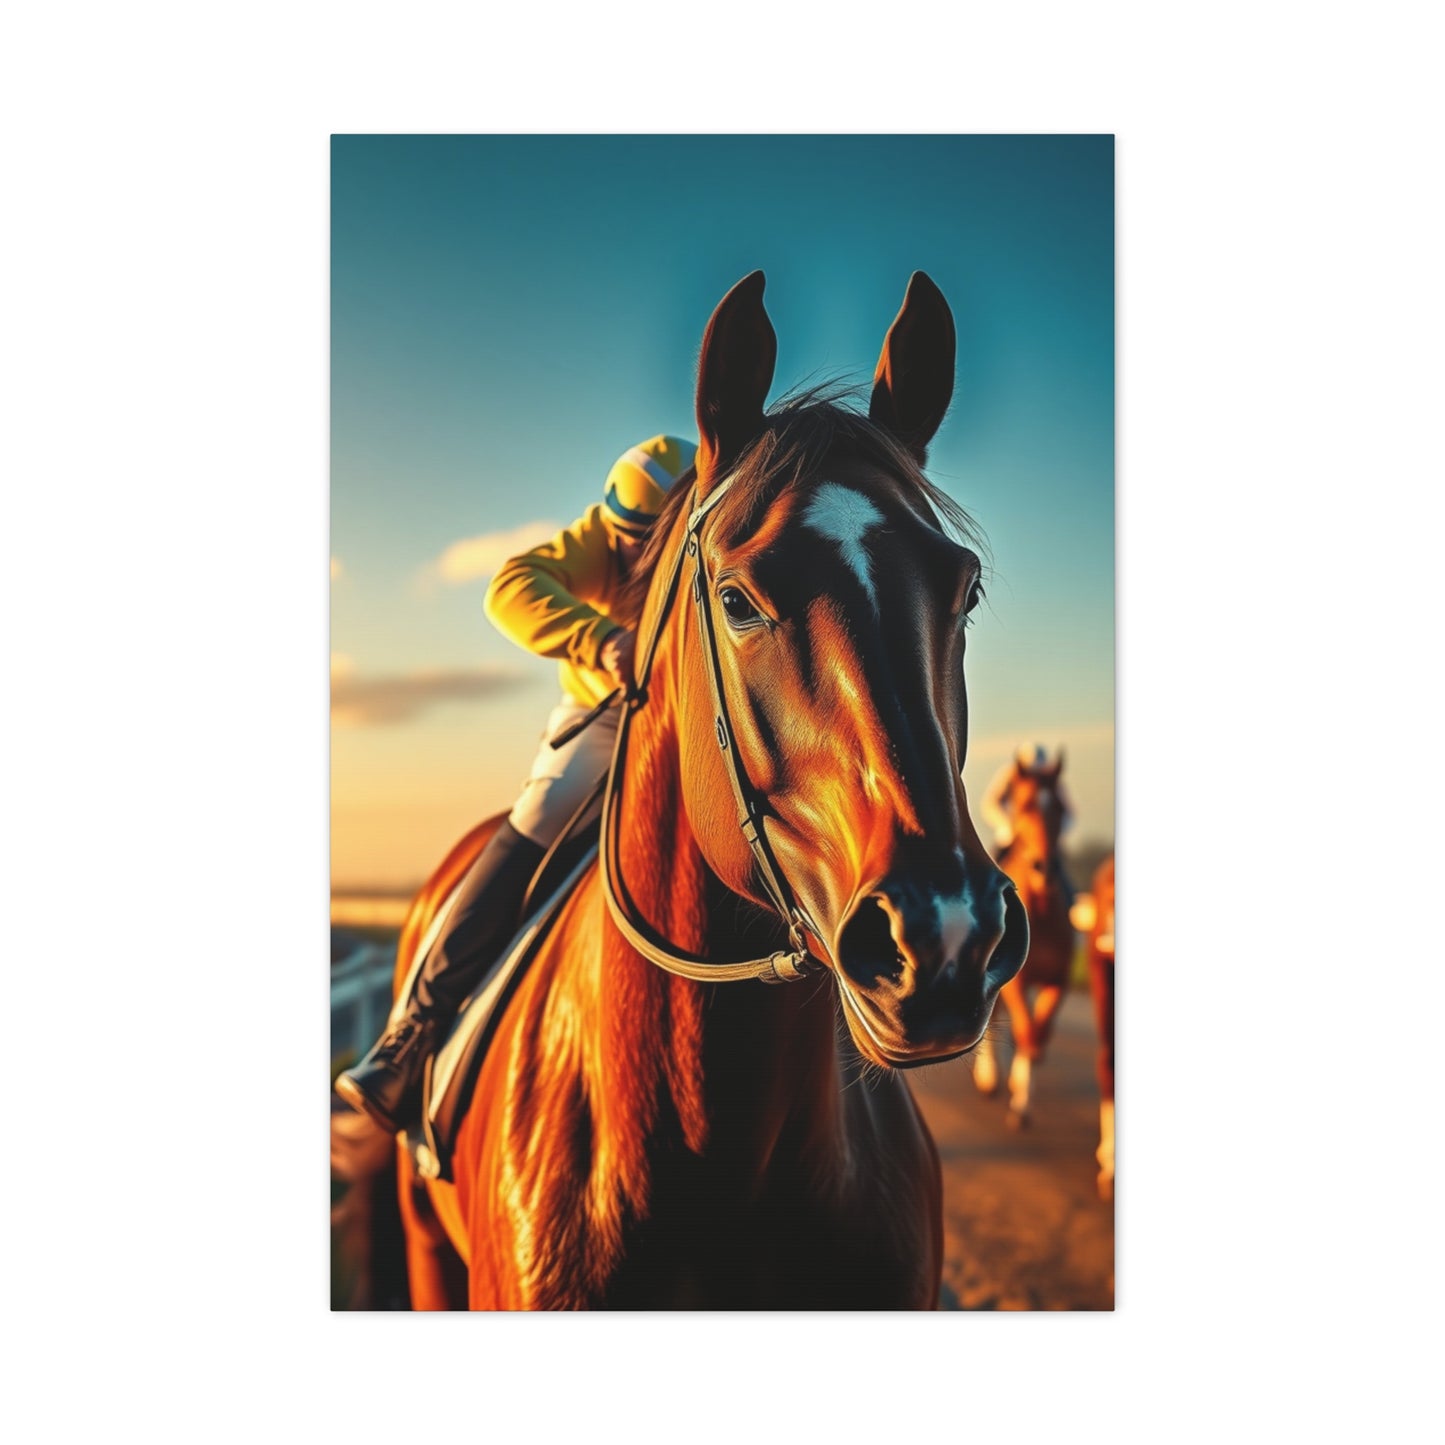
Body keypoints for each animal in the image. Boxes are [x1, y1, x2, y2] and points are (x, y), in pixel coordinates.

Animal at [971, 750, 1077, 1127]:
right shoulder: (1016, 980)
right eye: (1025, 804)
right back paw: (988, 1078)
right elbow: (1025, 1031)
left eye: (1058, 806)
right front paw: (1020, 1101)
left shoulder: (1058, 978)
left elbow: (1038, 1033)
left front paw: (1022, 1090)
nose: (1043, 867)